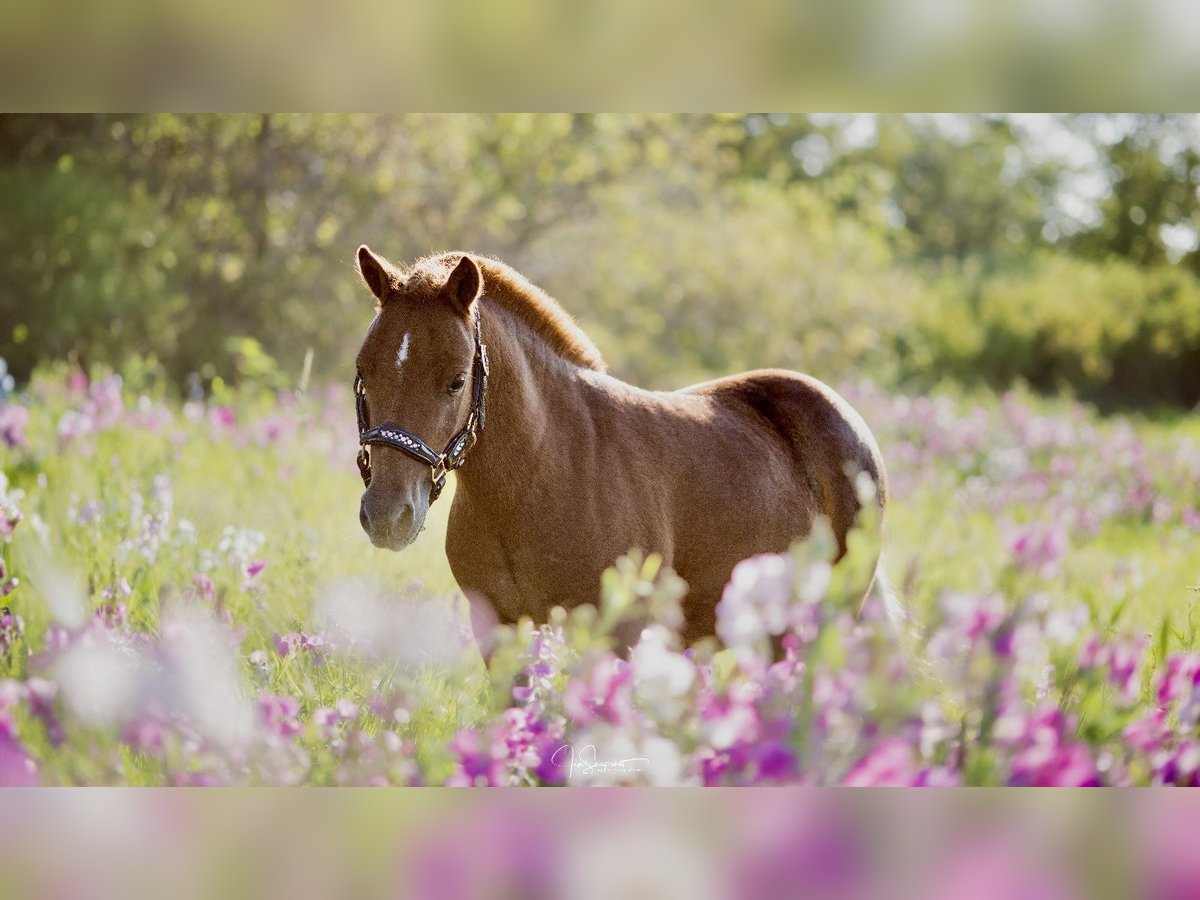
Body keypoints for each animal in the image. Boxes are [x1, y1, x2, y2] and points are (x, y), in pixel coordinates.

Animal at [350, 250, 888, 652]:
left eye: (457, 381)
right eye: (363, 372)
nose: (388, 516)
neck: (540, 474)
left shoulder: (617, 635)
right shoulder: (500, 631)